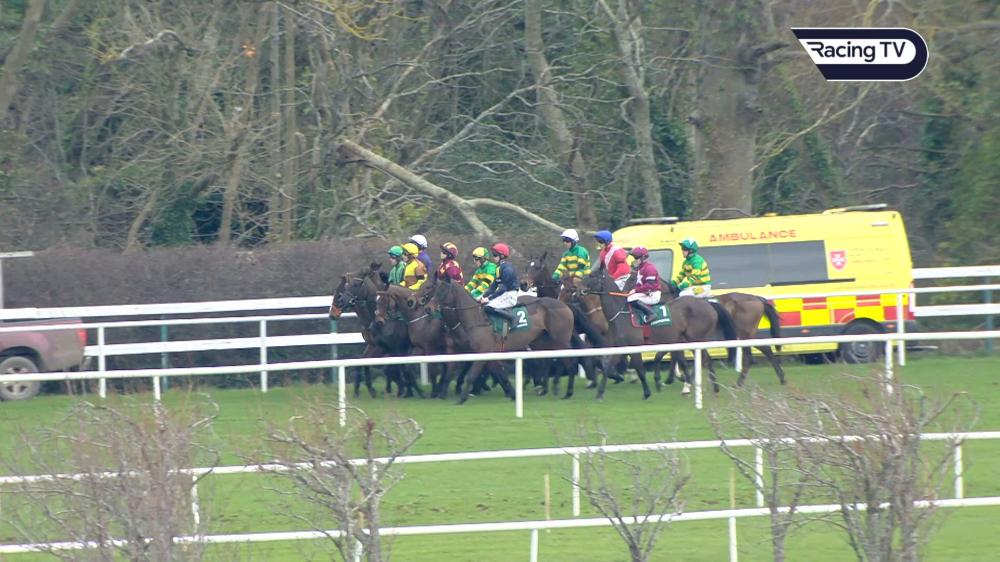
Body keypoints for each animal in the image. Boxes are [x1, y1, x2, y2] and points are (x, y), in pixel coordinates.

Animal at [329, 262, 415, 398]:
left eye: (340, 292)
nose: (332, 314)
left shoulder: (386, 348)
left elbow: (392, 367)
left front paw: (401, 388)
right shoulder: (373, 345)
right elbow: (362, 361)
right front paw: (364, 389)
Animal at [428, 278, 584, 404]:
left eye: (442, 291)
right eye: (434, 290)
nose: (428, 308)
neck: (477, 319)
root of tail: (565, 305)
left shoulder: (483, 352)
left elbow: (471, 376)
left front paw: (462, 398)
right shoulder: (489, 354)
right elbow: (501, 374)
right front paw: (513, 394)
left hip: (561, 340)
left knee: (571, 363)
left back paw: (567, 392)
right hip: (542, 342)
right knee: (547, 363)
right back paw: (546, 388)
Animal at [577, 269, 737, 398]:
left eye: (591, 275)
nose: (577, 289)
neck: (621, 314)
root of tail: (708, 304)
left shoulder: (635, 346)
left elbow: (641, 369)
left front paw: (648, 392)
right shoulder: (620, 346)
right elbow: (607, 366)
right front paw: (600, 392)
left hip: (695, 338)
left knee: (704, 359)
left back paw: (693, 386)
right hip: (689, 339)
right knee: (707, 359)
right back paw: (713, 388)